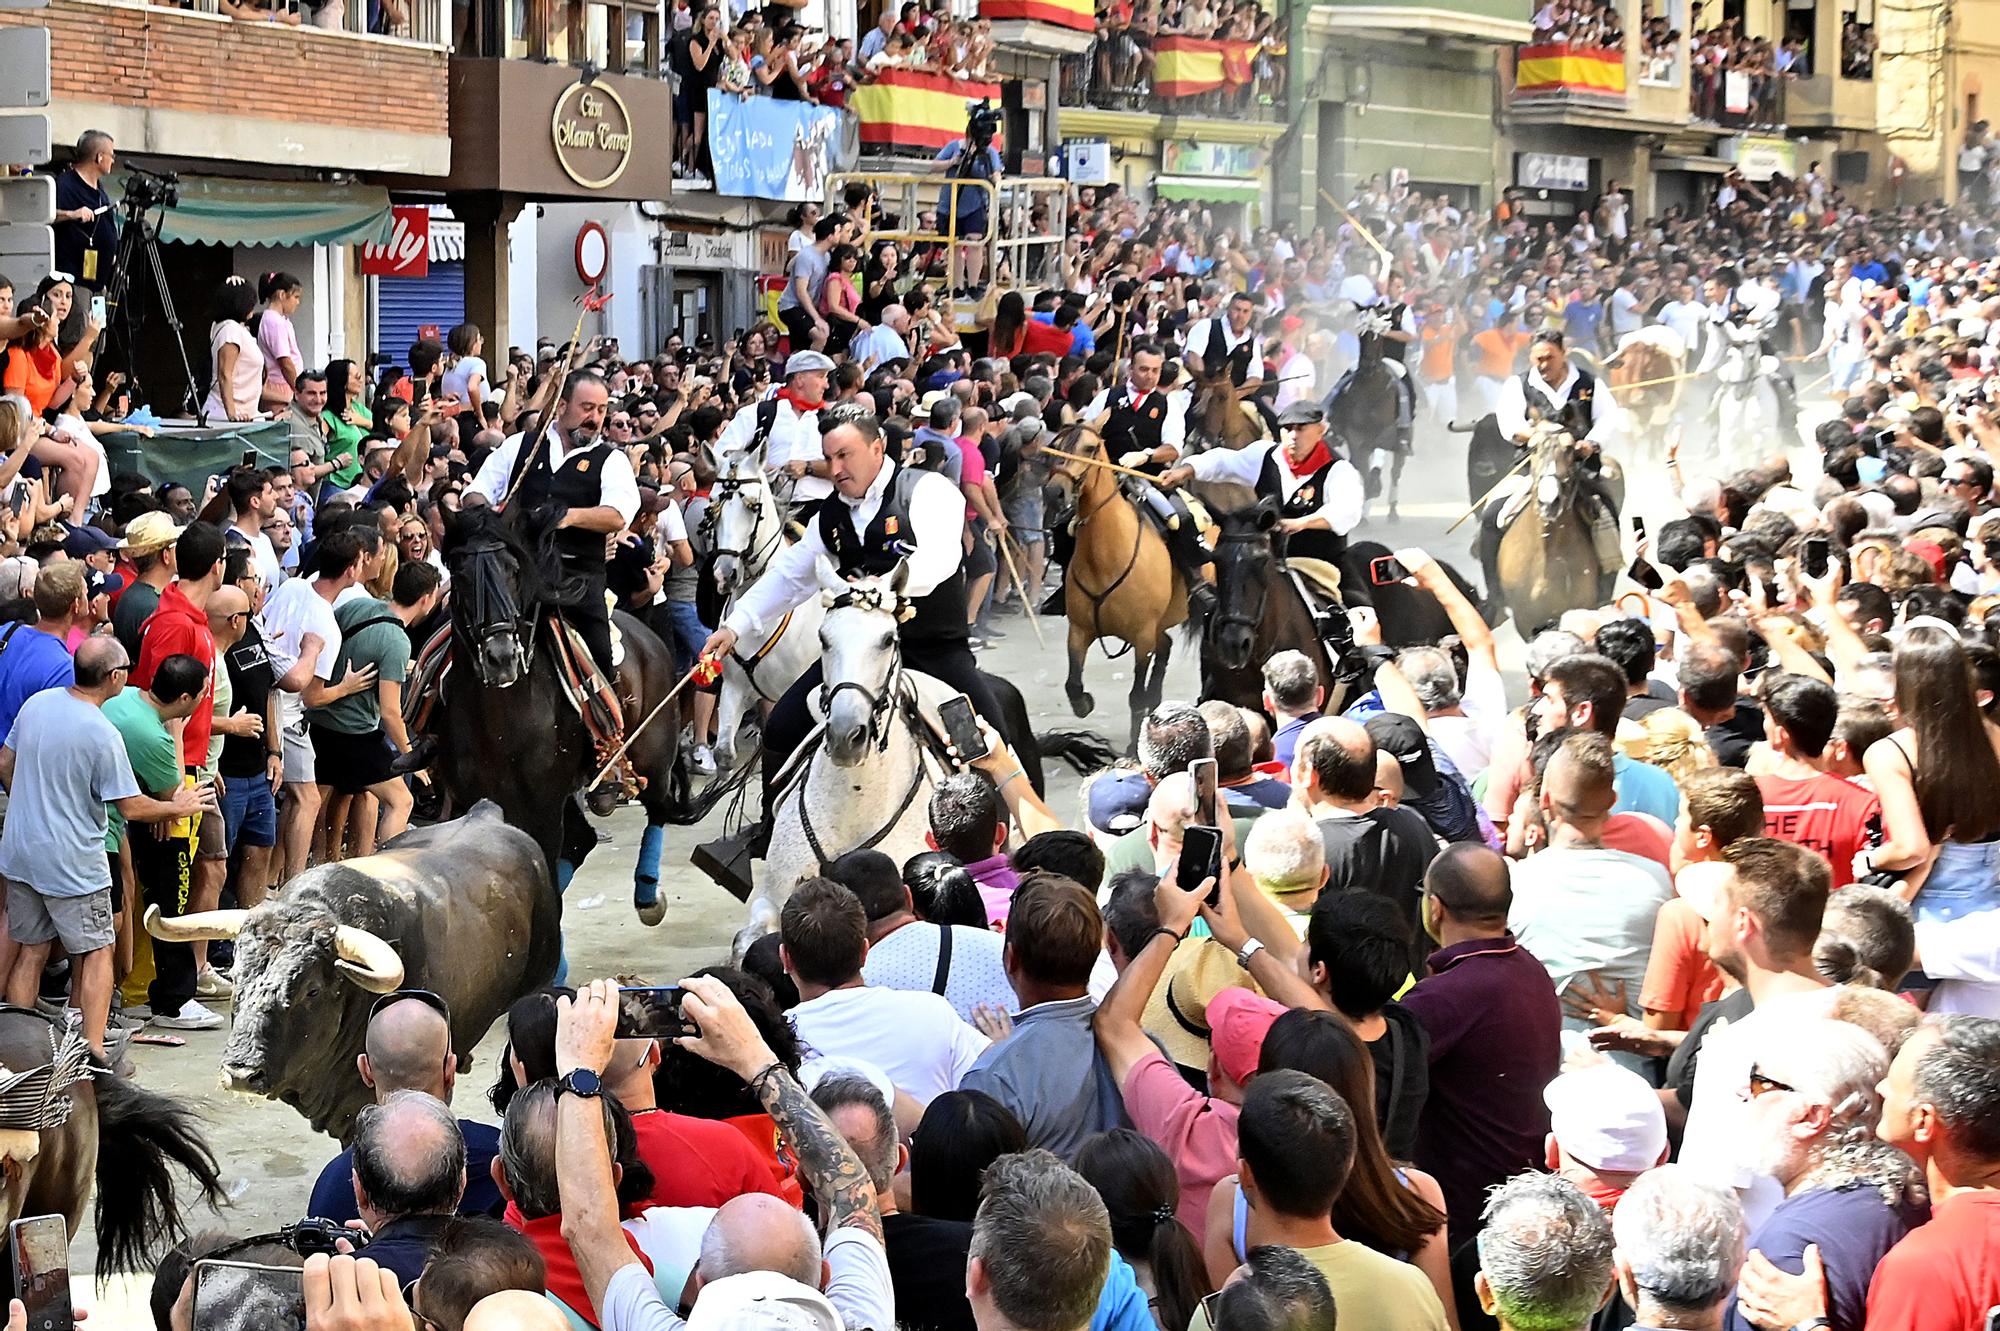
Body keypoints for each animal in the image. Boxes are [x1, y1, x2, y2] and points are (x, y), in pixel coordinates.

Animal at [1048, 427, 1184, 751]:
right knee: (1166, 646)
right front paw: (1085, 702)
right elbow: (1073, 684)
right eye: (1057, 444)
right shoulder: (1079, 630)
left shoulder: (1143, 637)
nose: (1053, 493)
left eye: (1089, 448)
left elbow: (1135, 696)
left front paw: (1135, 747)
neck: (1105, 558)